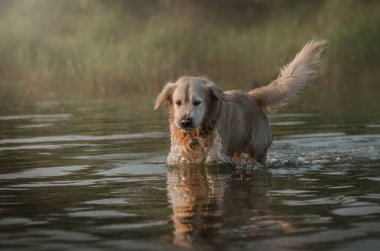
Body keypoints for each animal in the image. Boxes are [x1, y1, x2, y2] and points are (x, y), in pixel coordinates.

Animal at [154, 40, 326, 166]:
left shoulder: (217, 154)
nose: (185, 121)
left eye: (197, 102)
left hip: (258, 149)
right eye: (178, 102)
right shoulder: (182, 154)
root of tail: (252, 96)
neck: (198, 133)